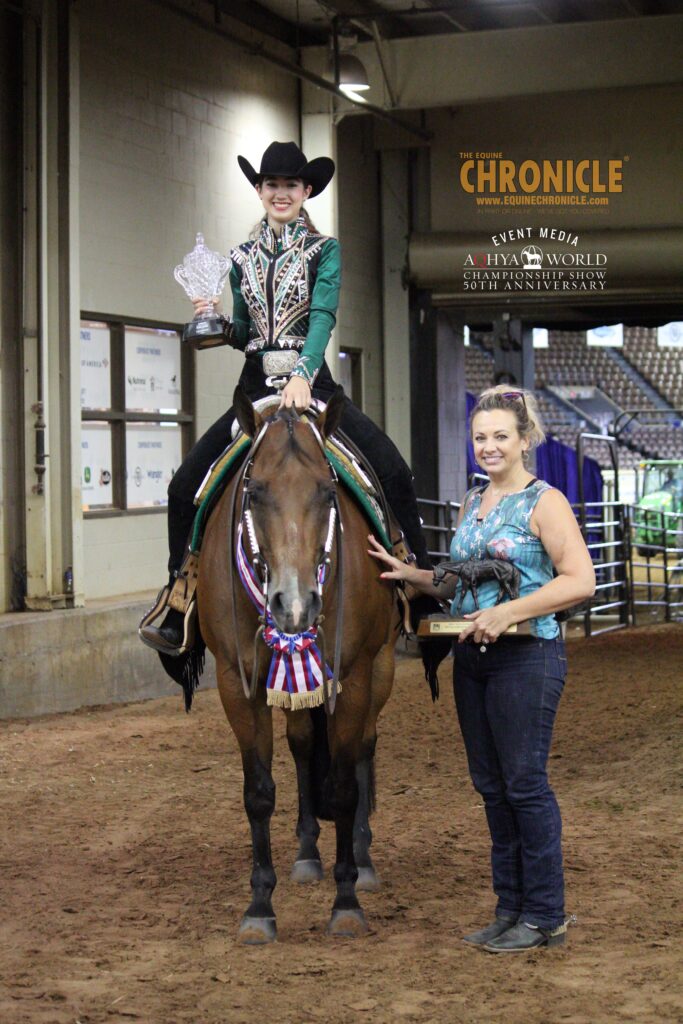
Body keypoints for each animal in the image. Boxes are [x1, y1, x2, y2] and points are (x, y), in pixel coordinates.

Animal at [197, 387, 397, 946]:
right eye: (255, 491)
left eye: (328, 493)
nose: (294, 604)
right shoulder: (236, 683)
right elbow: (259, 793)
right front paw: (259, 907)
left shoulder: (352, 677)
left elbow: (346, 786)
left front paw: (346, 902)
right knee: (304, 745)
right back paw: (308, 853)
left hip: (380, 668)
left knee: (363, 749)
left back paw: (362, 857)